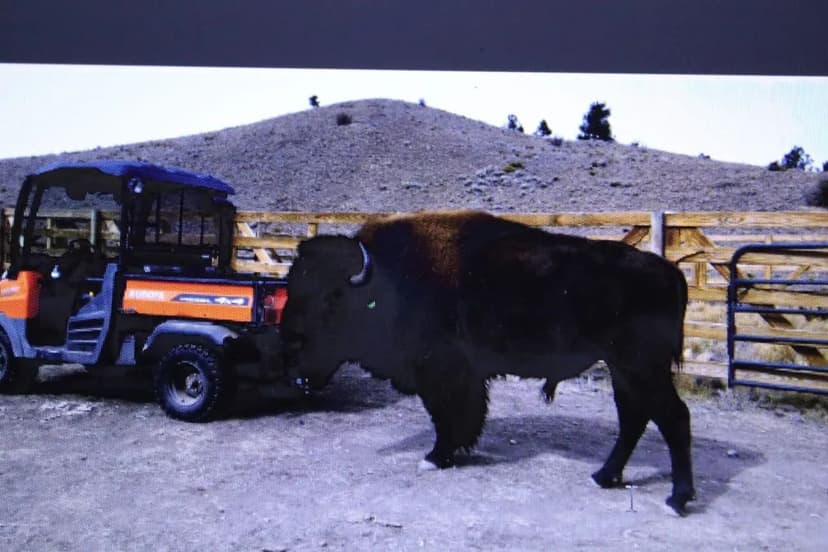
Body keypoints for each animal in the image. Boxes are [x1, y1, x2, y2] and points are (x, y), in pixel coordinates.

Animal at [282, 210, 695, 515]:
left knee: (673, 417)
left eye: (331, 298)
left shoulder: (444, 375)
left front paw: (436, 457)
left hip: (640, 367)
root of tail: (671, 271)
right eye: (292, 289)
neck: (385, 281)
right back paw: (603, 477)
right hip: (622, 370)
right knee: (634, 418)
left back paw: (676, 499)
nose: (291, 346)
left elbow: (449, 417)